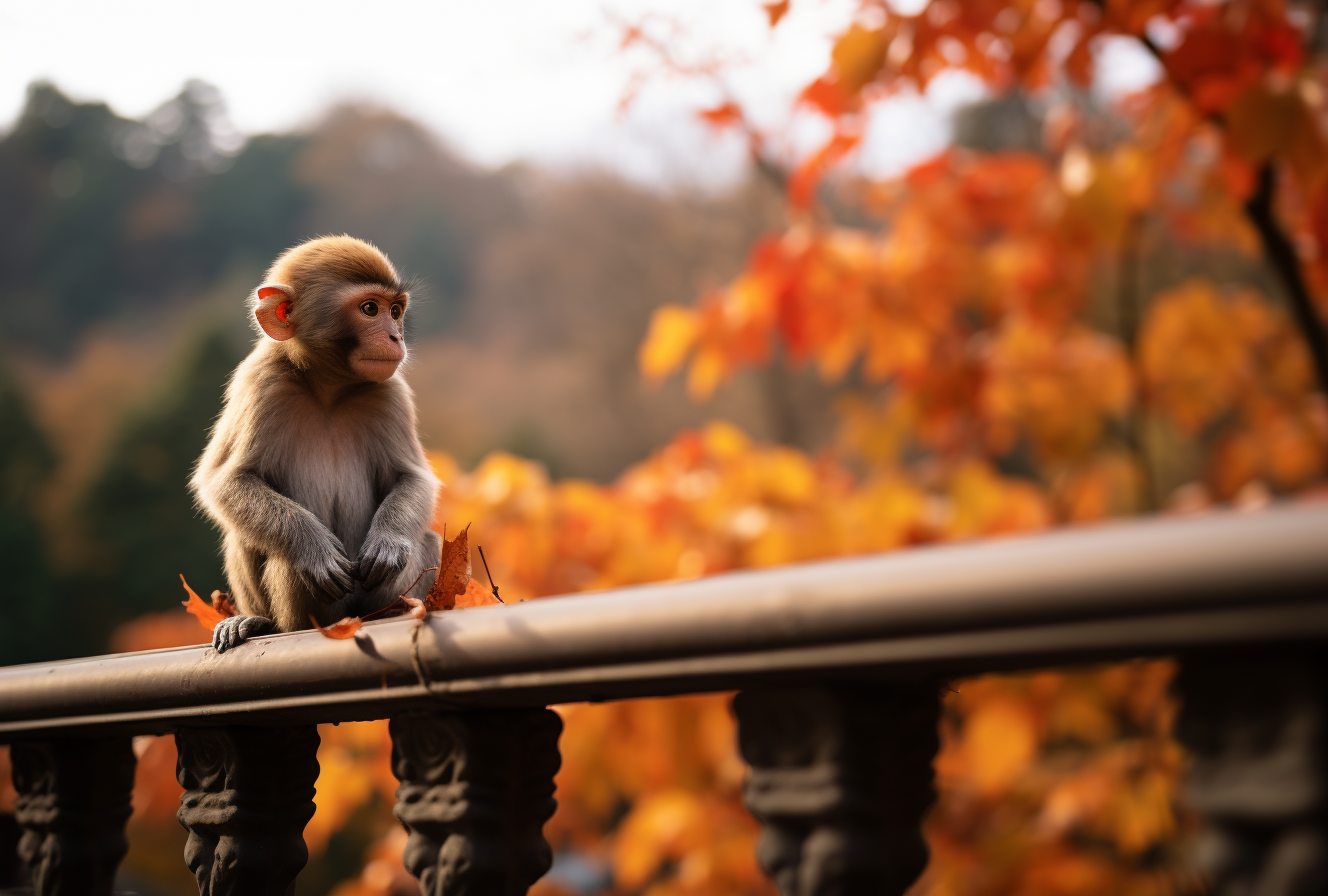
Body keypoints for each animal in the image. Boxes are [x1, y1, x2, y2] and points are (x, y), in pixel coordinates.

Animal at [193, 233, 440, 653]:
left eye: (395, 311)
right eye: (370, 309)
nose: (396, 336)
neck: (330, 389)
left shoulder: (390, 393)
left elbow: (413, 478)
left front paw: (388, 543)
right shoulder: (261, 382)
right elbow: (226, 481)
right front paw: (313, 550)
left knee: (427, 540)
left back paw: (395, 609)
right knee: (249, 539)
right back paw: (259, 621)